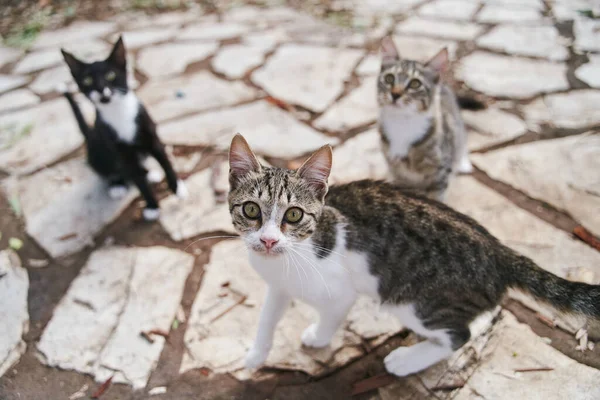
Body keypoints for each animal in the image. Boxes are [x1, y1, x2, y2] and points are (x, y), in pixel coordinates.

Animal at [61, 36, 186, 220]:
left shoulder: (153, 140)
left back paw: (149, 173)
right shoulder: (122, 153)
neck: (118, 113)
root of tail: (89, 135)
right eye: (87, 81)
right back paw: (117, 184)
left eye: (111, 75)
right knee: (111, 171)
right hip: (97, 155)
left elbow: (167, 165)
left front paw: (178, 188)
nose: (102, 90)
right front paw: (152, 206)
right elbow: (139, 183)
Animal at [229, 134, 600, 378]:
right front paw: (256, 354)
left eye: (293, 215)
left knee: (459, 334)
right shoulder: (278, 284)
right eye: (251, 210)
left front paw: (318, 337)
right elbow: (267, 316)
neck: (292, 255)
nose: (268, 240)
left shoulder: (340, 293)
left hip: (413, 302)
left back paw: (406, 360)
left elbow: (331, 317)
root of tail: (498, 251)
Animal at [380, 36, 474, 202]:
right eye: (389, 78)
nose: (395, 94)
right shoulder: (398, 174)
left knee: (462, 136)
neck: (402, 124)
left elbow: (436, 198)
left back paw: (463, 162)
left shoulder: (440, 174)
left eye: (415, 83)